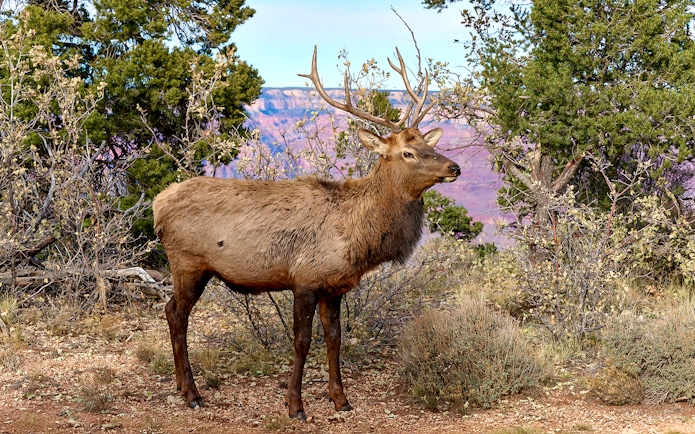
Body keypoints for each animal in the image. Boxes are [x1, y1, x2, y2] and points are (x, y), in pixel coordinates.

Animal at [152, 46, 461, 421]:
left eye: (429, 146)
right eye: (408, 152)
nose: (454, 167)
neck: (358, 237)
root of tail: (157, 204)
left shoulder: (334, 286)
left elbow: (334, 338)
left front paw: (341, 399)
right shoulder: (304, 279)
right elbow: (302, 341)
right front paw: (295, 405)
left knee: (171, 311)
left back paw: (181, 387)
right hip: (188, 262)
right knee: (175, 313)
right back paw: (192, 393)